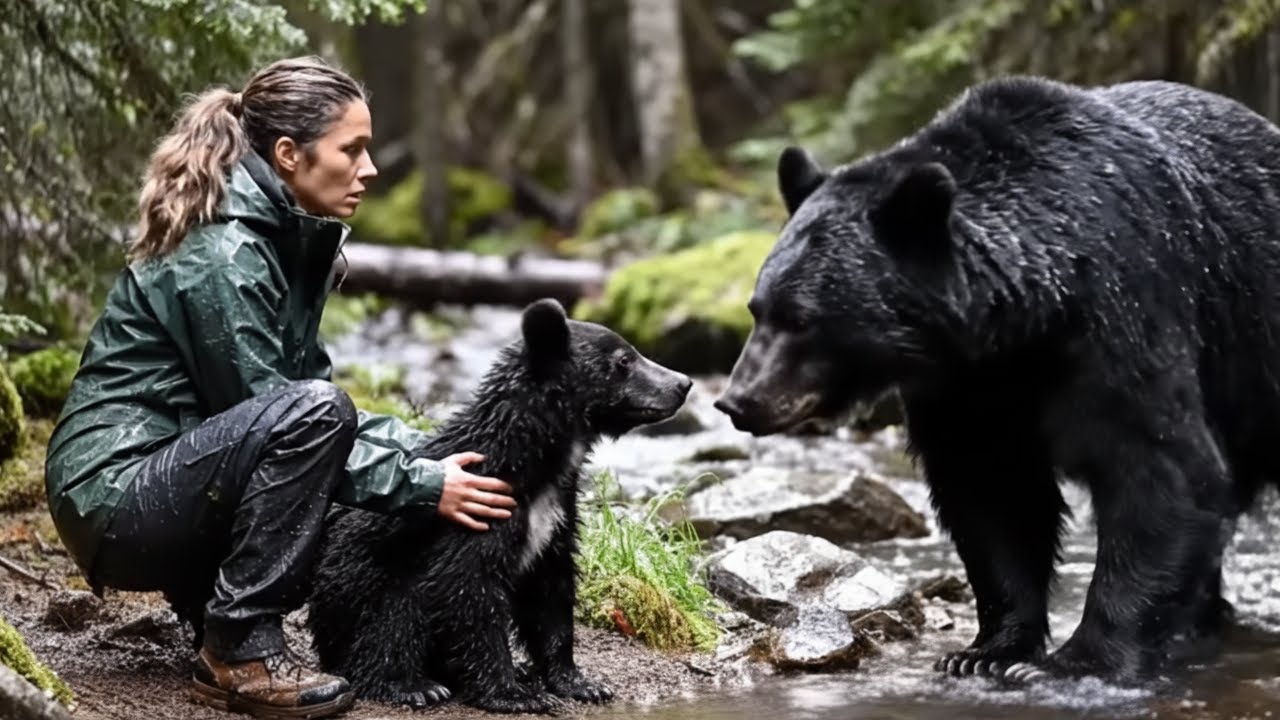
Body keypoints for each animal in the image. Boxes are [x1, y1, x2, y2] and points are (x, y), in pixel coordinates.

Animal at [306, 298, 692, 714]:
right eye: (624, 359)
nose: (682, 383)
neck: (537, 460)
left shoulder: (556, 515)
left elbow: (552, 592)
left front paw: (580, 682)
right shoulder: (480, 509)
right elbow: (471, 590)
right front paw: (515, 694)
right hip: (361, 588)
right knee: (391, 621)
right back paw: (413, 684)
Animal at [713, 75, 1280, 684]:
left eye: (802, 319)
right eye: (756, 309)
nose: (738, 399)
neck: (1022, 324)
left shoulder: (1121, 320)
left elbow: (1161, 467)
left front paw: (1073, 662)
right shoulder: (967, 389)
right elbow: (992, 492)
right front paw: (984, 651)